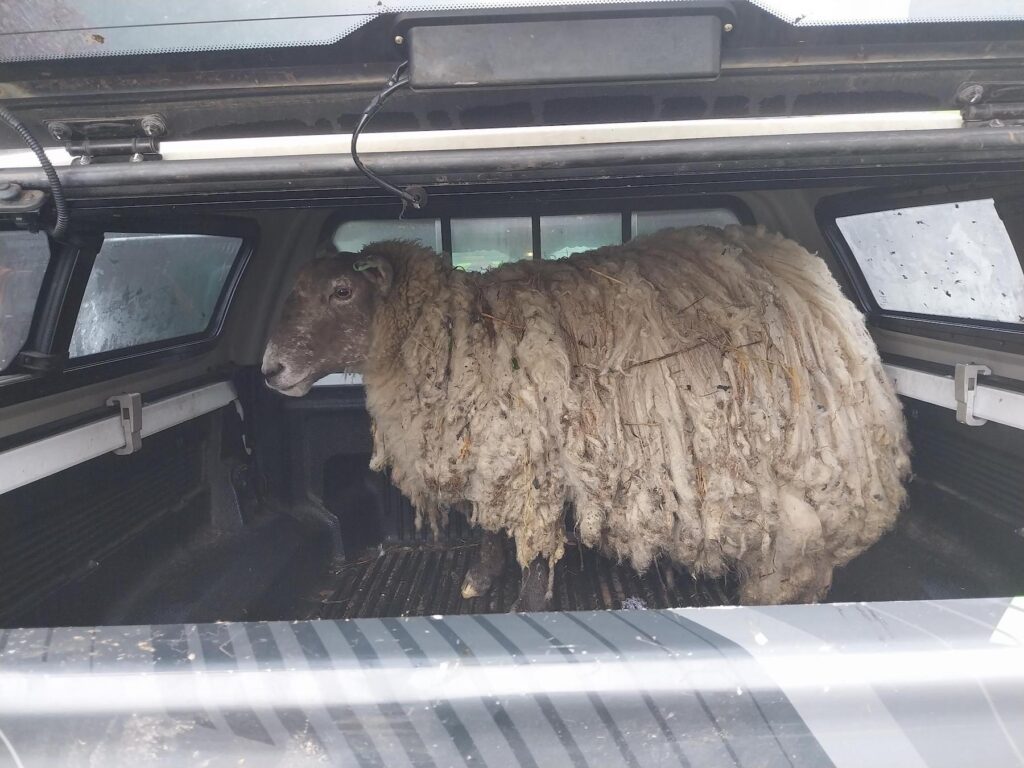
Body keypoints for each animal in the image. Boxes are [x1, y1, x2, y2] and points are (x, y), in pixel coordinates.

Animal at [264, 225, 913, 610]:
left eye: (342, 292)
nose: (271, 368)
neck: (452, 335)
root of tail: (823, 288)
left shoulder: (530, 462)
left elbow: (530, 545)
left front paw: (526, 604)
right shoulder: (491, 454)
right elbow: (487, 528)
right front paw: (479, 580)